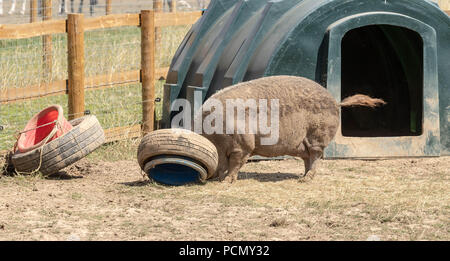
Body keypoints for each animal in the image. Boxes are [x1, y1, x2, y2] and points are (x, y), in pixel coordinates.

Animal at [195, 74, 384, 183]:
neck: (216, 139)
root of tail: (335, 101)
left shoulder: (243, 145)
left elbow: (236, 163)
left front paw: (227, 181)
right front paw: (222, 179)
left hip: (317, 135)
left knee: (315, 155)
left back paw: (306, 180)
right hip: (301, 144)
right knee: (307, 157)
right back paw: (301, 176)